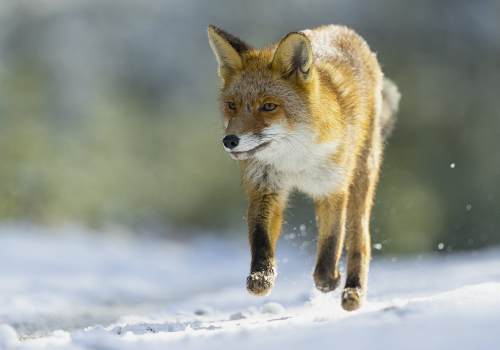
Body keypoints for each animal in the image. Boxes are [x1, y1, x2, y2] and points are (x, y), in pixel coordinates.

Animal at [207, 23, 398, 310]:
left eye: (269, 106)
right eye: (232, 106)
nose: (230, 141)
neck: (296, 161)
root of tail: (345, 30)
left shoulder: (333, 187)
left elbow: (332, 239)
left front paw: (327, 279)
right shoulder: (265, 187)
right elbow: (261, 238)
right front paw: (261, 276)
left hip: (362, 175)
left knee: (359, 238)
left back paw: (353, 291)